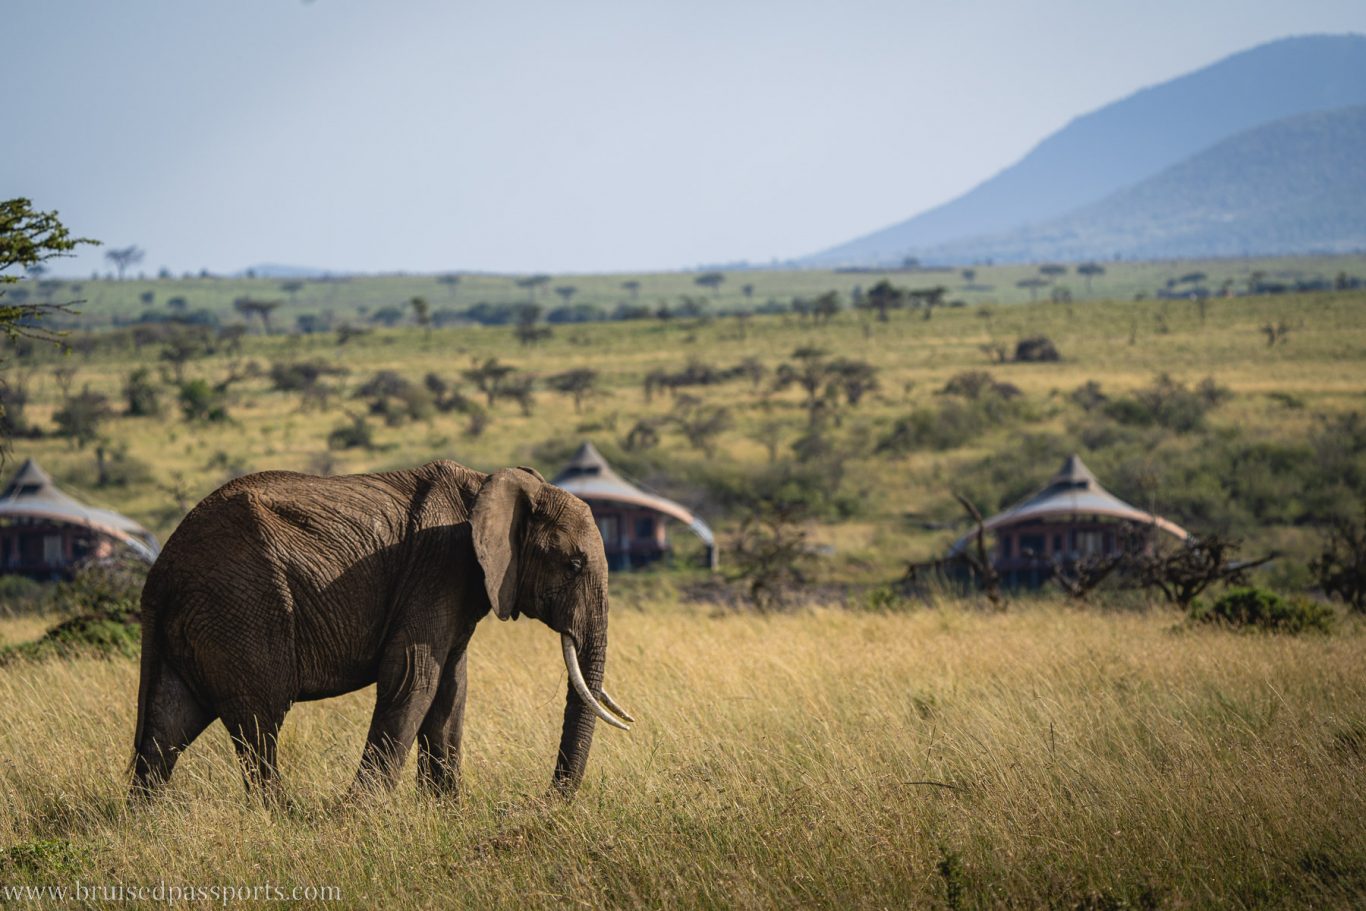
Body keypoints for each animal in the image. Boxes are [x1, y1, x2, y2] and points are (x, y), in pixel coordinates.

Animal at [130, 458, 631, 803]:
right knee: (259, 723)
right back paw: (284, 817)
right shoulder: (438, 567)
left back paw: (147, 820)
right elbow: (413, 677)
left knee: (167, 725)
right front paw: (357, 814)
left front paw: (445, 812)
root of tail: (161, 570)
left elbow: (451, 690)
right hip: (243, 606)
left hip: (201, 621)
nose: (542, 801)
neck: (487, 485)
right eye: (573, 565)